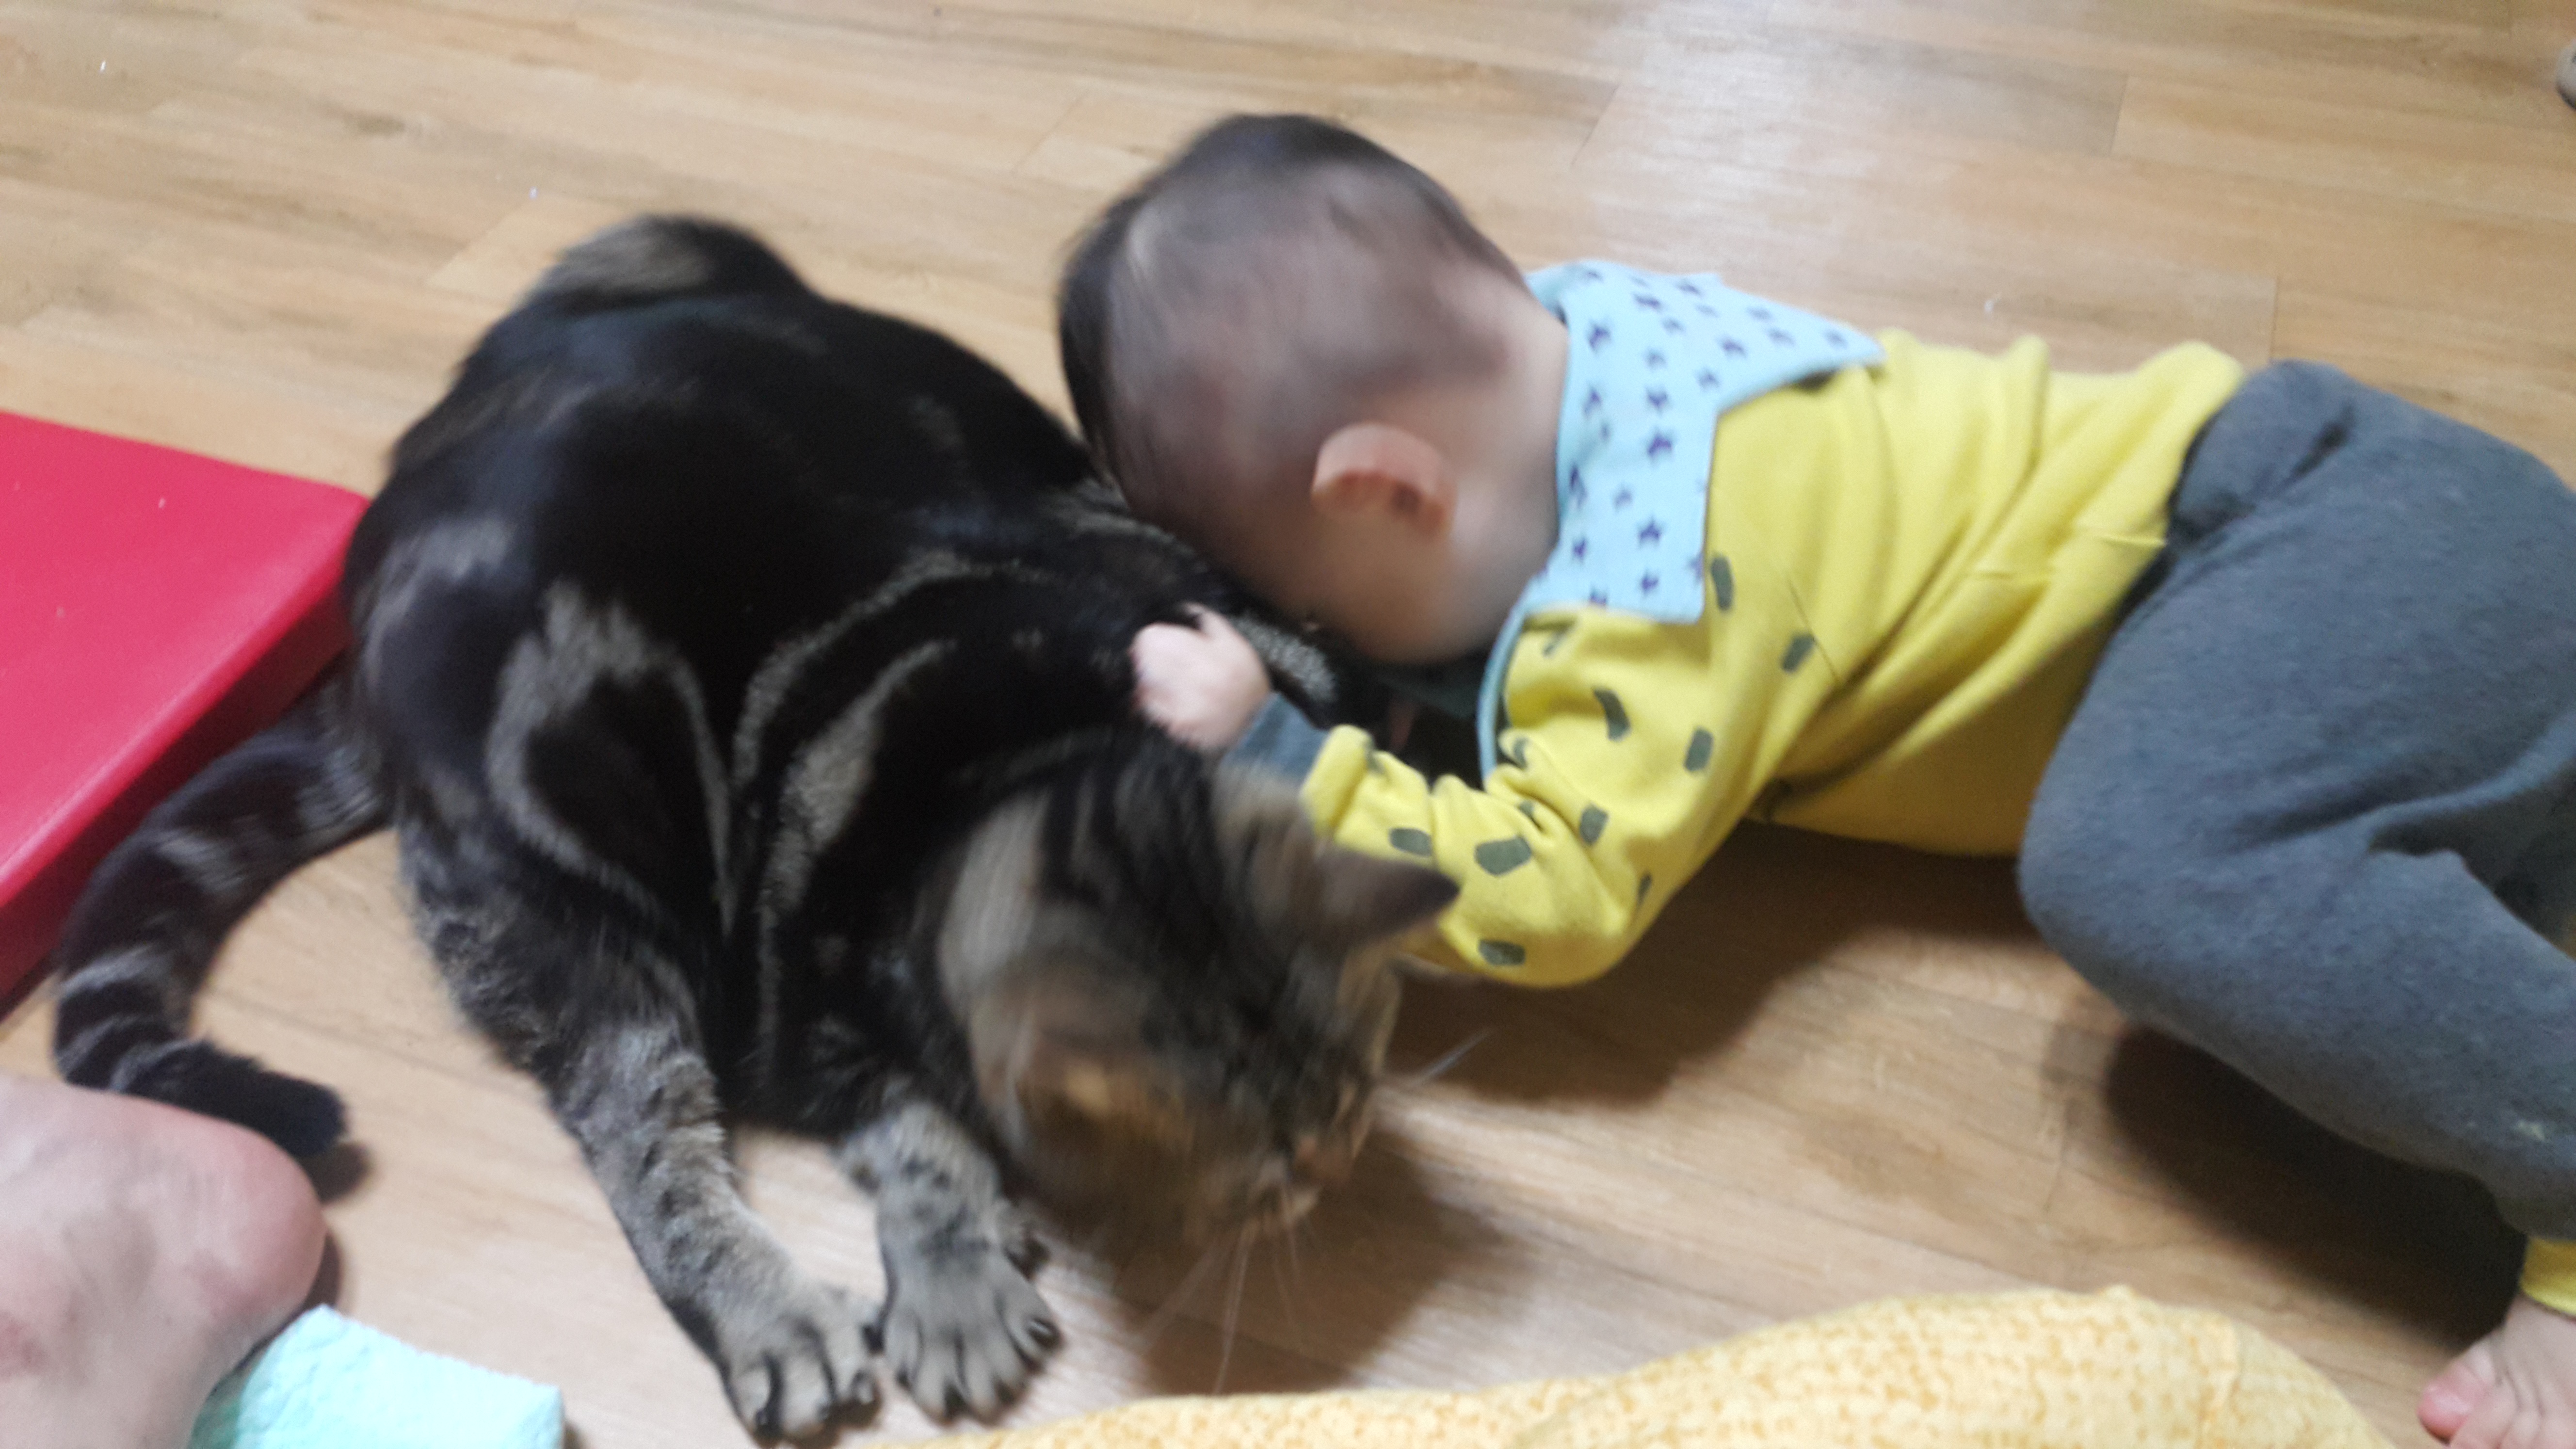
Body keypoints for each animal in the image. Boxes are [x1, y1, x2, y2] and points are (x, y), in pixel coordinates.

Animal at [46, 216, 1455, 1438]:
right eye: (1266, 1162)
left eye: (1353, 1073)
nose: (1341, 1145)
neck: (999, 756)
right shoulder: (788, 1010)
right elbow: (913, 1131)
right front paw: (954, 1271)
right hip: (580, 892)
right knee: (641, 1140)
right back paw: (768, 1315)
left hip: (661, 241)